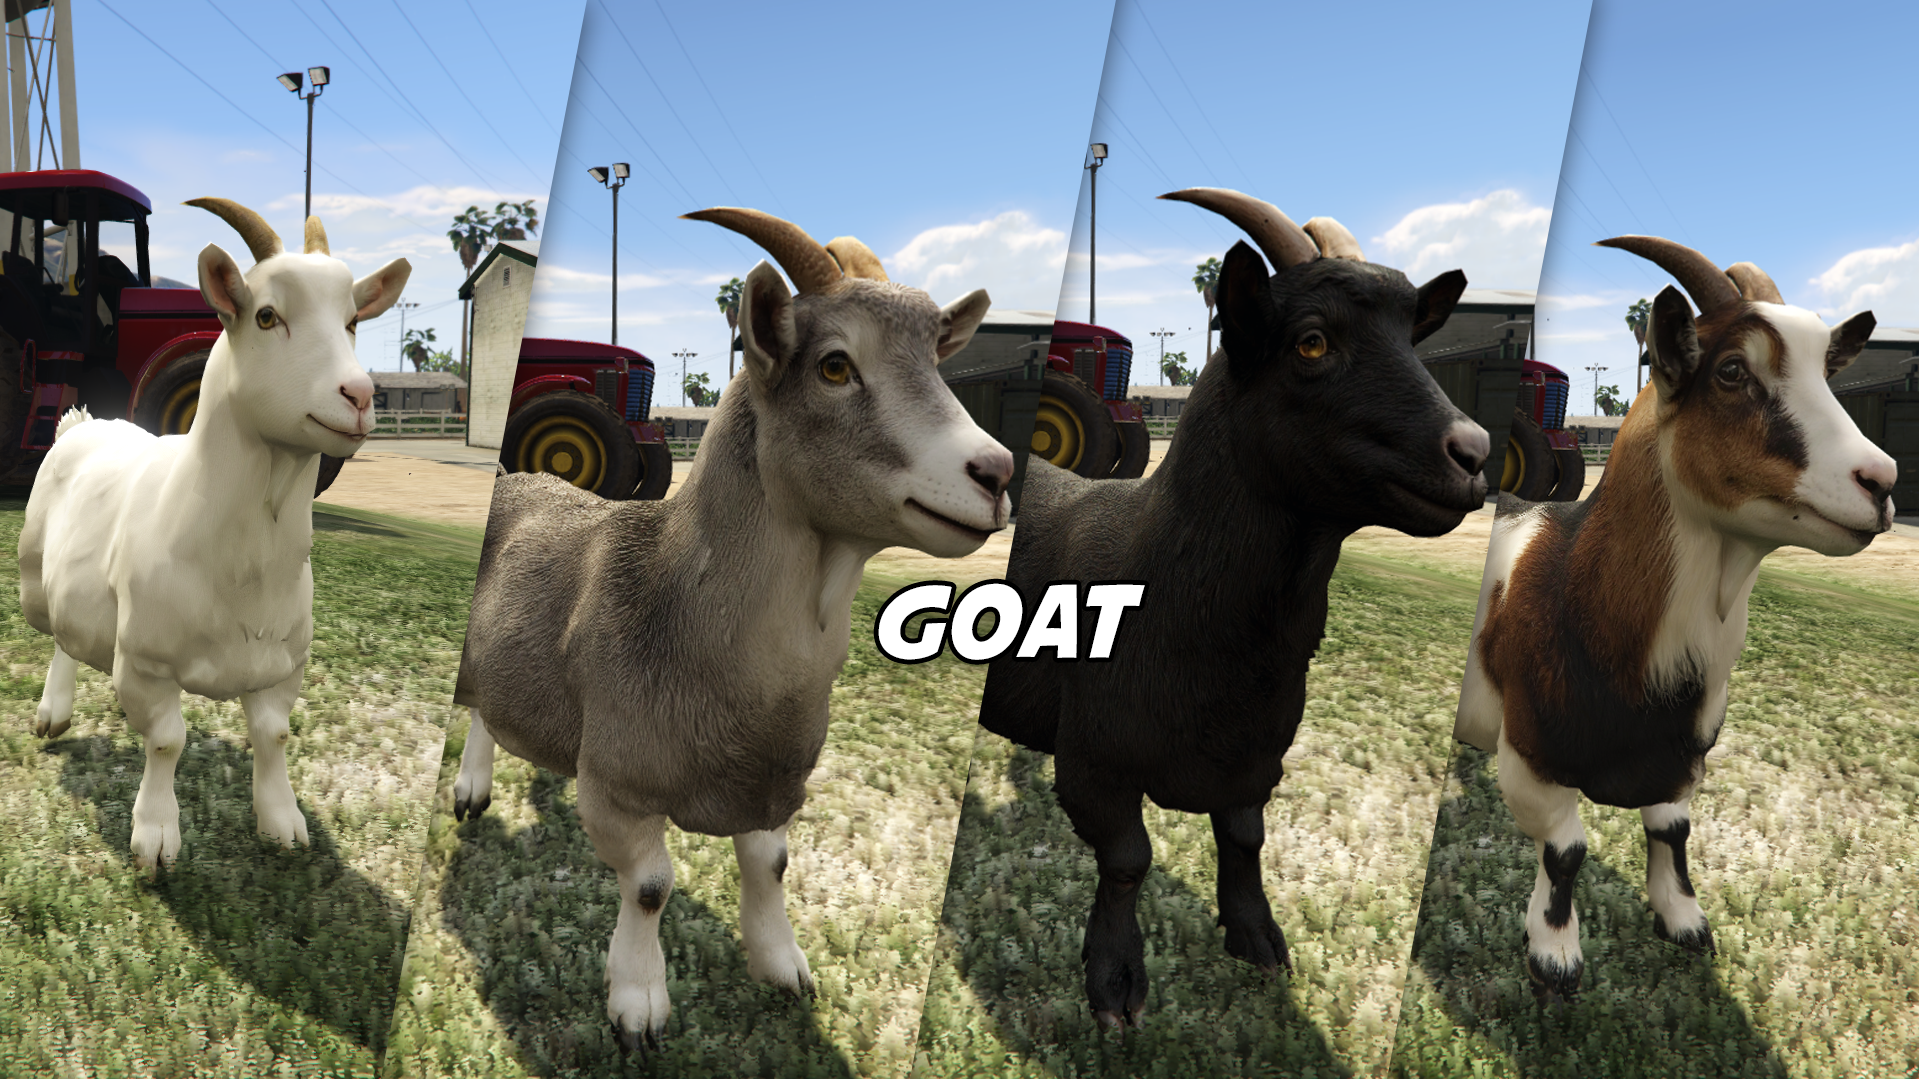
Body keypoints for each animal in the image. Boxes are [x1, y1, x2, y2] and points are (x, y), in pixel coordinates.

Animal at [19, 199, 409, 869]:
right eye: (267, 315)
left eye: (354, 319)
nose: (359, 396)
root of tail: (83, 422)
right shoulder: (146, 665)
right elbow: (167, 742)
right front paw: (155, 835)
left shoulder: (282, 668)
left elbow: (273, 735)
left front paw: (282, 821)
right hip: (33, 582)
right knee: (60, 637)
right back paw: (53, 712)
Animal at [448, 208, 1014, 1053]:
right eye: (835, 365)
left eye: (936, 364)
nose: (998, 472)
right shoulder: (616, 785)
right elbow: (651, 885)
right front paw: (639, 1003)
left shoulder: (771, 785)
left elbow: (769, 866)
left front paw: (782, 966)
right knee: (477, 706)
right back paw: (470, 788)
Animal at [977, 188, 1491, 1028]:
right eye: (1311, 342)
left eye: (1412, 341)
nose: (1473, 453)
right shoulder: (1095, 762)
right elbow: (1128, 859)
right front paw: (1114, 981)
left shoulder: (1256, 757)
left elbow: (1245, 838)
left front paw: (1257, 937)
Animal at [1455, 235, 1897, 1000]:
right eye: (1731, 370)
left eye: (1827, 371)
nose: (1882, 481)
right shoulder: (1530, 758)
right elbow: (1565, 848)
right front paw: (1554, 954)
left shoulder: (1681, 761)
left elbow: (1672, 833)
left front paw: (1683, 920)